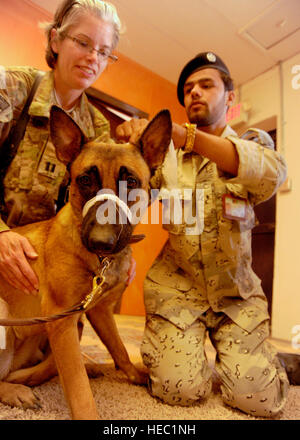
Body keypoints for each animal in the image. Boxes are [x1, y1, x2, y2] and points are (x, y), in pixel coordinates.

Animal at [0, 106, 171, 420]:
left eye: (131, 182)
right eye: (85, 180)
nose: (100, 242)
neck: (99, 262)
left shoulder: (99, 311)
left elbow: (118, 347)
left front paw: (131, 372)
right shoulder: (62, 322)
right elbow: (78, 387)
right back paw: (17, 390)